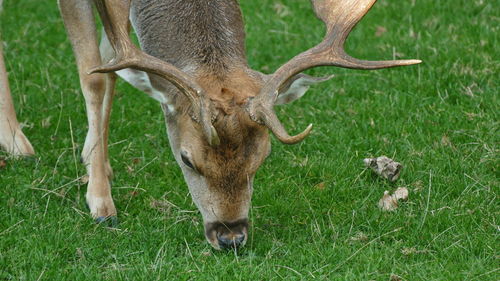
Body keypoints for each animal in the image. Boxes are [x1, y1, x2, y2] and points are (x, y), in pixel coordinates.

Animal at [2, 0, 422, 249]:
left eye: (262, 159)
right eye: (186, 159)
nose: (231, 236)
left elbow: (111, 61)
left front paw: (96, 161)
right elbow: (95, 75)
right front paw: (101, 203)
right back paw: (16, 142)